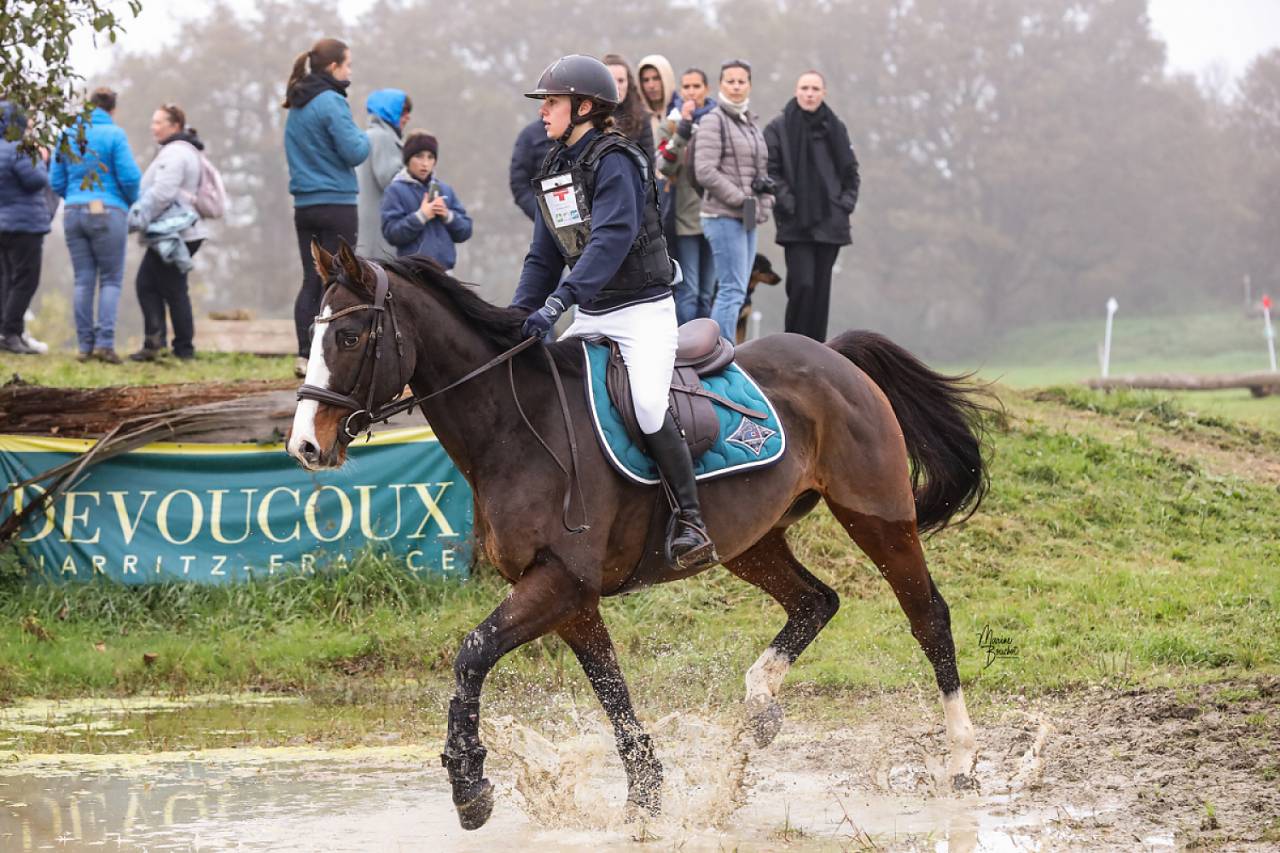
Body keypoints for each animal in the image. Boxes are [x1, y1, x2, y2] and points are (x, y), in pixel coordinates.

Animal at [287, 242, 992, 831]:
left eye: (348, 335)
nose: (304, 447)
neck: (516, 427)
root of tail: (834, 354)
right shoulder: (570, 598)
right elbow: (612, 690)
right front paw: (646, 793)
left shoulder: (559, 582)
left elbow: (472, 655)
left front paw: (470, 786)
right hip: (750, 541)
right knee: (816, 601)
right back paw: (756, 710)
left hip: (877, 515)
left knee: (928, 616)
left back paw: (960, 760)